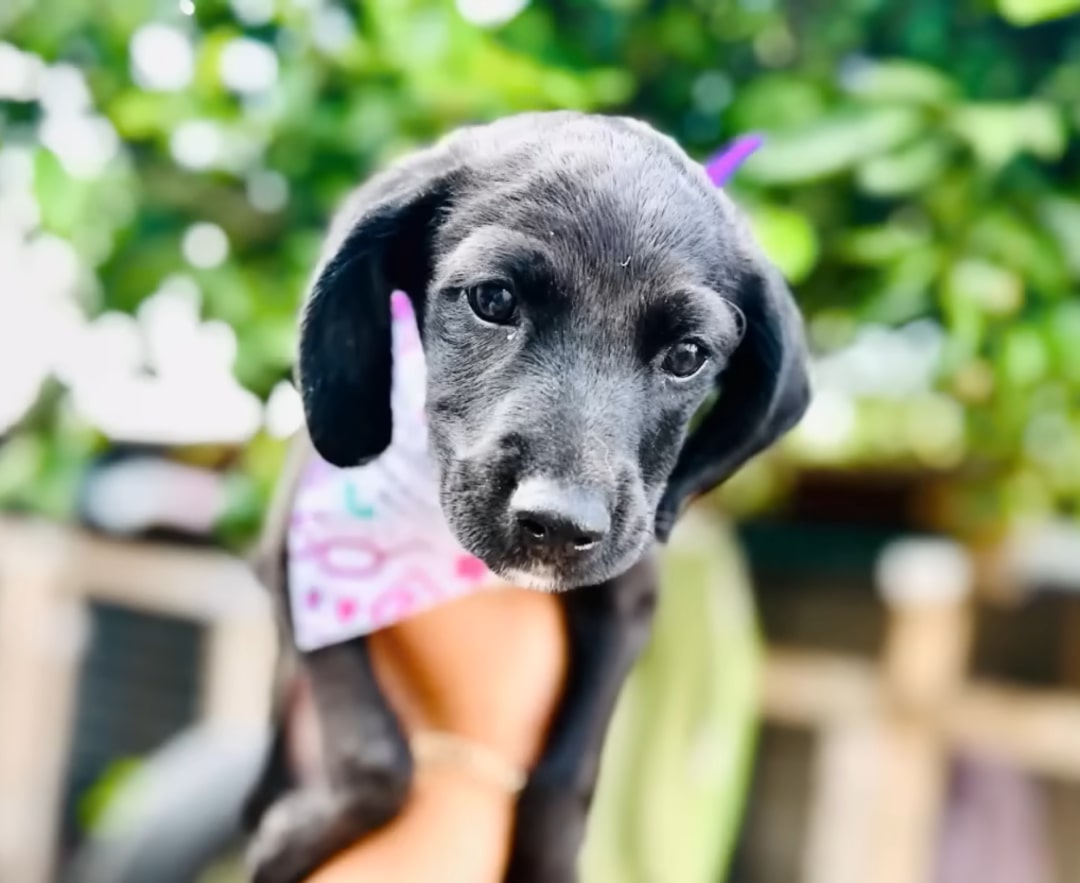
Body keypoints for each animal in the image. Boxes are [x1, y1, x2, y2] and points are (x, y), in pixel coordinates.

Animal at [243, 111, 803, 880]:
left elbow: (566, 776)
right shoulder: (299, 559)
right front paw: (294, 839)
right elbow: (374, 752)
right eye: (494, 300)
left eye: (688, 355)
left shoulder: (628, 601)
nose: (560, 526)